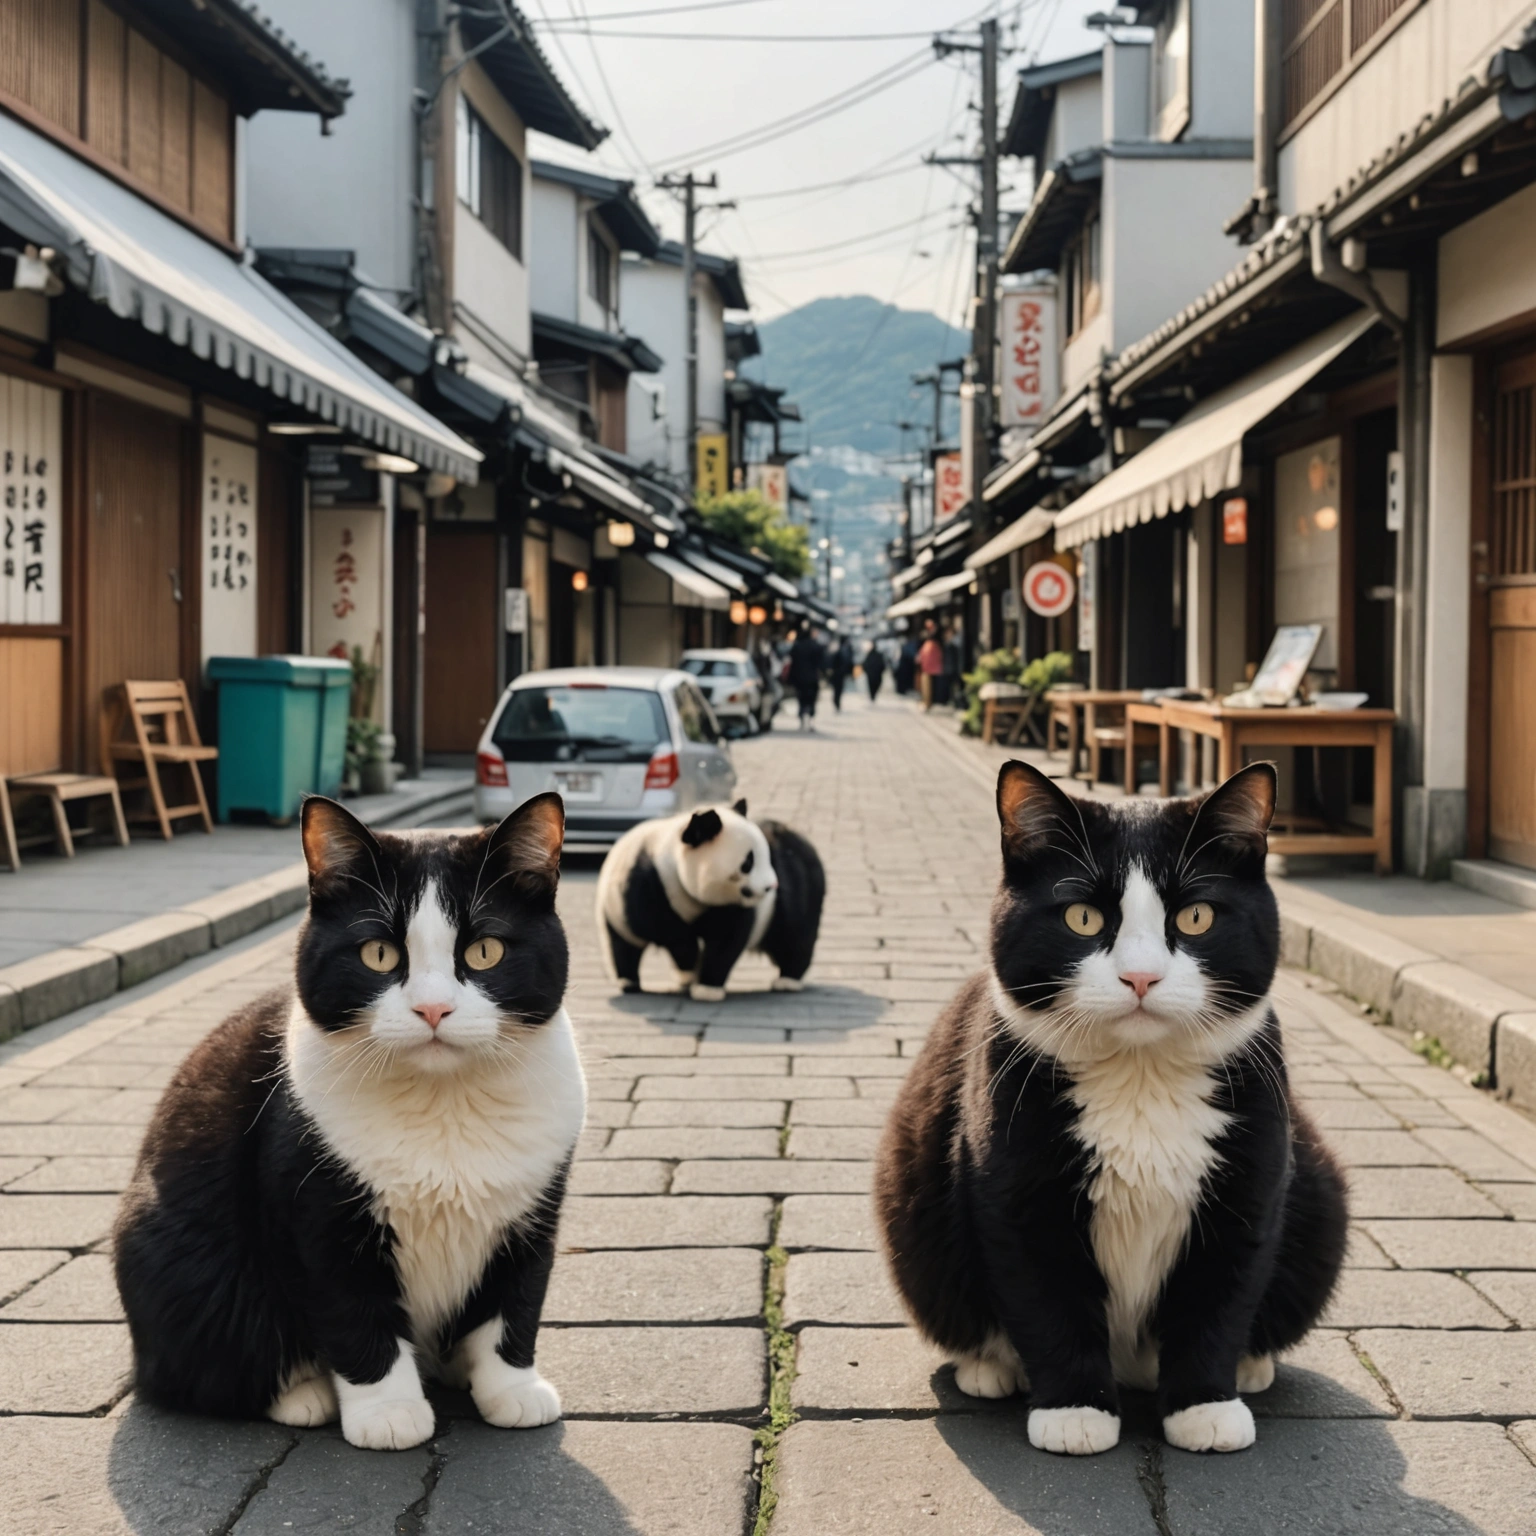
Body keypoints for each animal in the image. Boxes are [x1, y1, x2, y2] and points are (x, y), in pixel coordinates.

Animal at [113, 792, 580, 1449]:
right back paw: (303, 1396)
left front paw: (512, 1389)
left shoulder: (534, 1213)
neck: (444, 1104)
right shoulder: (318, 1215)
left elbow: (514, 1303)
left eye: (485, 950)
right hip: (180, 1265)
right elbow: (354, 1313)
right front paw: (388, 1411)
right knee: (194, 1370)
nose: (432, 1009)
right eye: (378, 954)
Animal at [592, 798, 823, 1001]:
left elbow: (725, 937)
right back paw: (630, 982)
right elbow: (664, 928)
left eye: (766, 857)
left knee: (794, 932)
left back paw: (788, 980)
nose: (771, 887)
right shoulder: (649, 883)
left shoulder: (731, 902)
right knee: (622, 944)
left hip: (800, 884)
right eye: (747, 863)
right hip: (614, 912)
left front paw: (706, 988)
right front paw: (692, 965)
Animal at [878, 761, 1345, 1456]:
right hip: (914, 1206)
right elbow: (1048, 1300)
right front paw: (1074, 1411)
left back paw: (1250, 1367)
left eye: (1197, 916)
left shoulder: (1250, 1183)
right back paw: (988, 1367)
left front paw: (1205, 1405)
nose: (1141, 977)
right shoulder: (1017, 1192)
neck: (1139, 1077)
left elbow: (1220, 1295)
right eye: (1082, 918)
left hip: (1316, 1183)